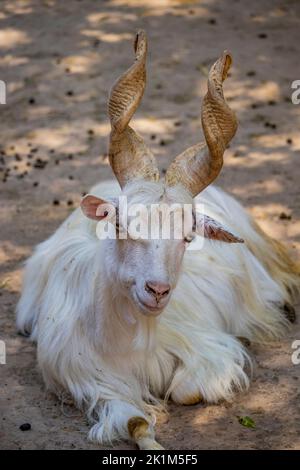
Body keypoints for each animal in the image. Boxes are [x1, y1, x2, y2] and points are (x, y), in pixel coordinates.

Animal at [17, 31, 298, 450]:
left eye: (188, 236)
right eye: (120, 225)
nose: (157, 291)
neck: (126, 343)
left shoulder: (210, 351)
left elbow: (186, 391)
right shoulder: (91, 382)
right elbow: (135, 422)